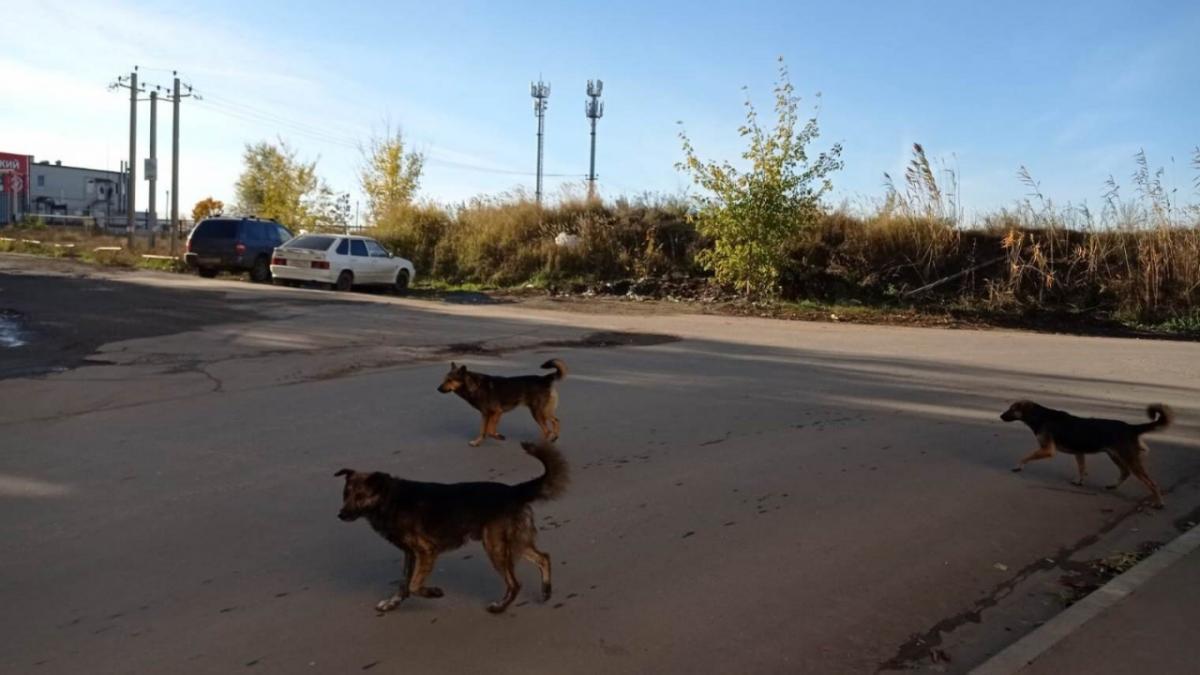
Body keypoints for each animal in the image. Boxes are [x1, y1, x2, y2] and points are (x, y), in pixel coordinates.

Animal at [333, 439, 566, 612]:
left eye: (360, 496)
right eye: (345, 494)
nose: (341, 515)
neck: (389, 499)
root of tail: (514, 491)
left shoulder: (426, 550)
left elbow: (414, 584)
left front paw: (433, 592)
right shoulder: (410, 553)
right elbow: (404, 582)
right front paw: (393, 603)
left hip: (495, 546)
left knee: (515, 583)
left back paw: (500, 607)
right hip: (512, 542)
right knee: (543, 557)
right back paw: (546, 591)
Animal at [436, 357, 566, 446]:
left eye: (450, 380)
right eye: (444, 379)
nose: (438, 389)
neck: (475, 386)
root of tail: (545, 379)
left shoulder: (497, 412)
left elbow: (489, 430)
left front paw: (497, 436)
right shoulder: (486, 415)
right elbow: (483, 430)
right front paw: (477, 442)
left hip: (537, 412)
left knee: (547, 430)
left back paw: (540, 443)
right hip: (544, 411)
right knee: (555, 422)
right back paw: (554, 437)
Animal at [998, 398, 1176, 504]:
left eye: (1011, 409)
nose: (1000, 416)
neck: (1040, 416)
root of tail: (1131, 428)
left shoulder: (1047, 450)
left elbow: (1026, 456)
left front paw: (1018, 466)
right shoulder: (1079, 452)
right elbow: (1082, 468)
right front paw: (1079, 481)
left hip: (1129, 459)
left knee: (1151, 483)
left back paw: (1159, 503)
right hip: (1114, 455)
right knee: (1125, 472)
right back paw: (1113, 485)